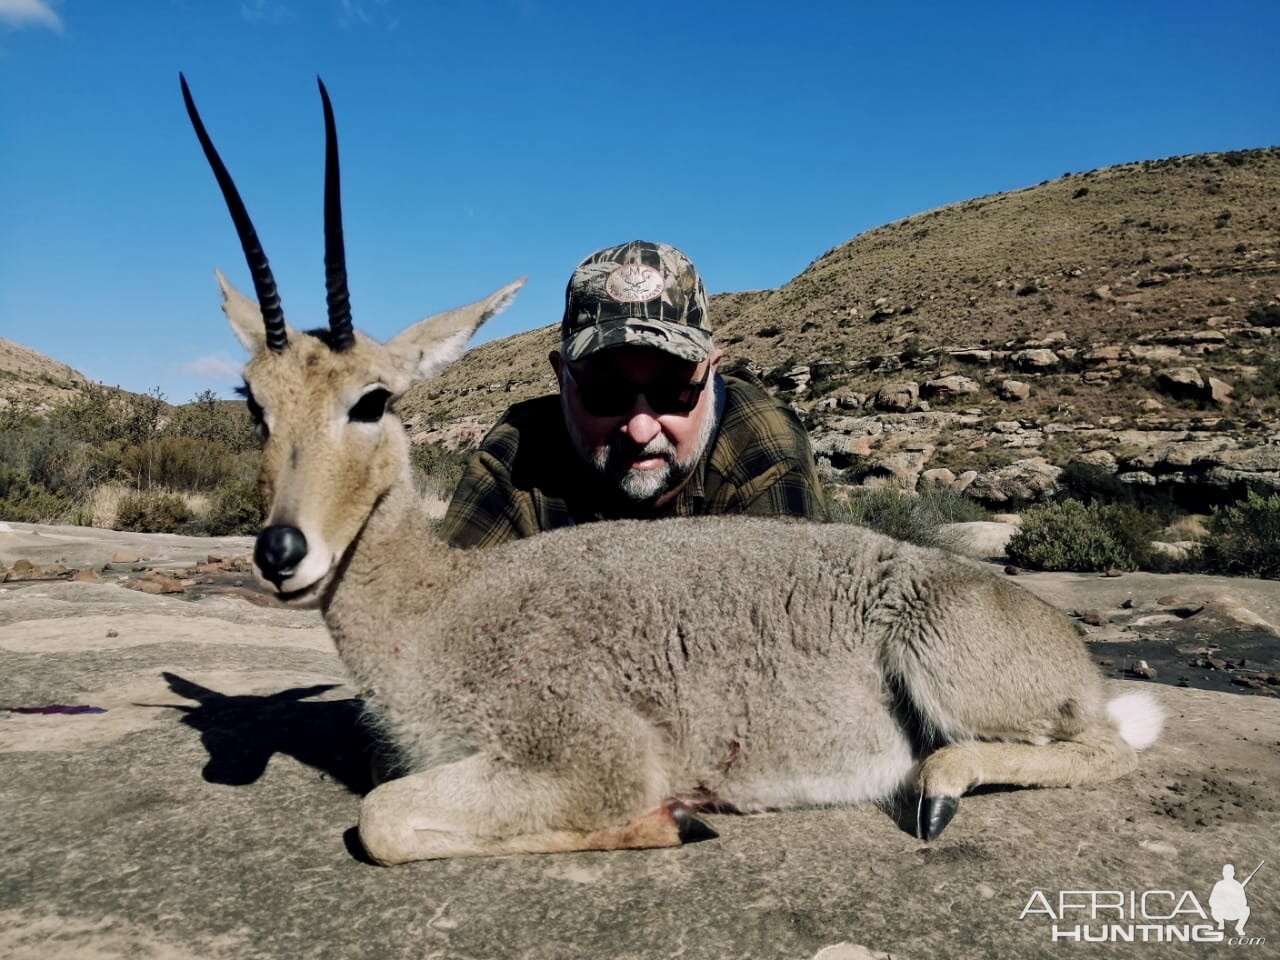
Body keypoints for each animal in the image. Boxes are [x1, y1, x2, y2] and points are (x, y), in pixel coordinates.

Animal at [180, 79, 1162, 870]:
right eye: (253, 400)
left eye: (372, 400)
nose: (281, 551)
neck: (441, 608)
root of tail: (1062, 642)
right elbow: (386, 812)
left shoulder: (588, 753)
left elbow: (379, 821)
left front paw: (673, 818)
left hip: (955, 676)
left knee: (1105, 745)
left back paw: (938, 785)